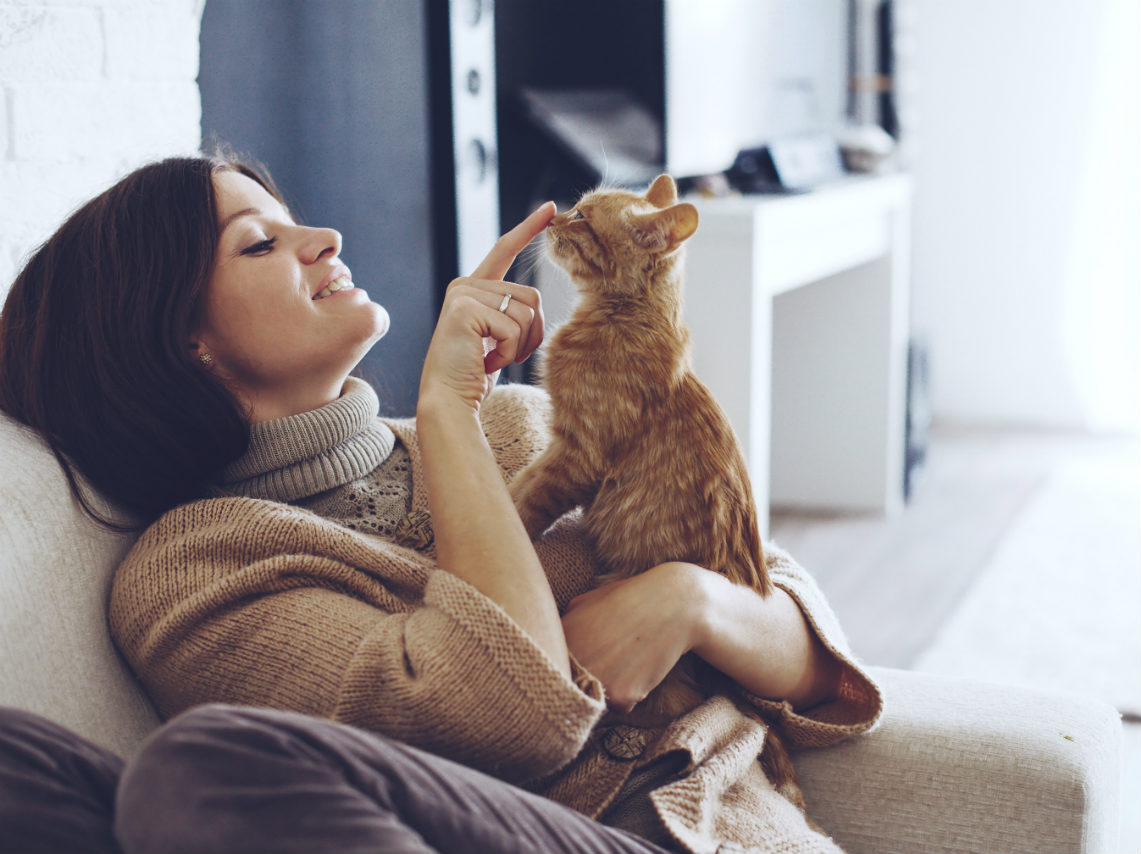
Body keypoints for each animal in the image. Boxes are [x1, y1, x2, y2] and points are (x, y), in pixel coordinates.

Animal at [511, 173, 775, 726]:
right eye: (575, 206)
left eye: (583, 218)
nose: (552, 217)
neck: (619, 317)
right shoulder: (560, 447)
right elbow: (522, 481)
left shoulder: (576, 454)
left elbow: (528, 501)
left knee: (671, 706)